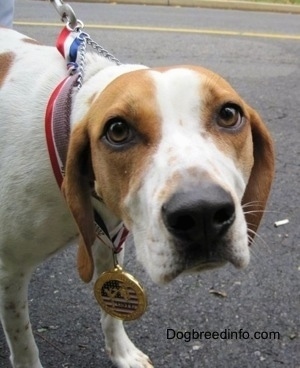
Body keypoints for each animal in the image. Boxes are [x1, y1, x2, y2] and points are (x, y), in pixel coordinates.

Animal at [0, 28, 274, 368]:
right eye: (117, 130)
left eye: (228, 114)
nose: (202, 214)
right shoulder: (10, 270)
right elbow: (24, 342)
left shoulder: (108, 241)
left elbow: (111, 311)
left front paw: (122, 353)